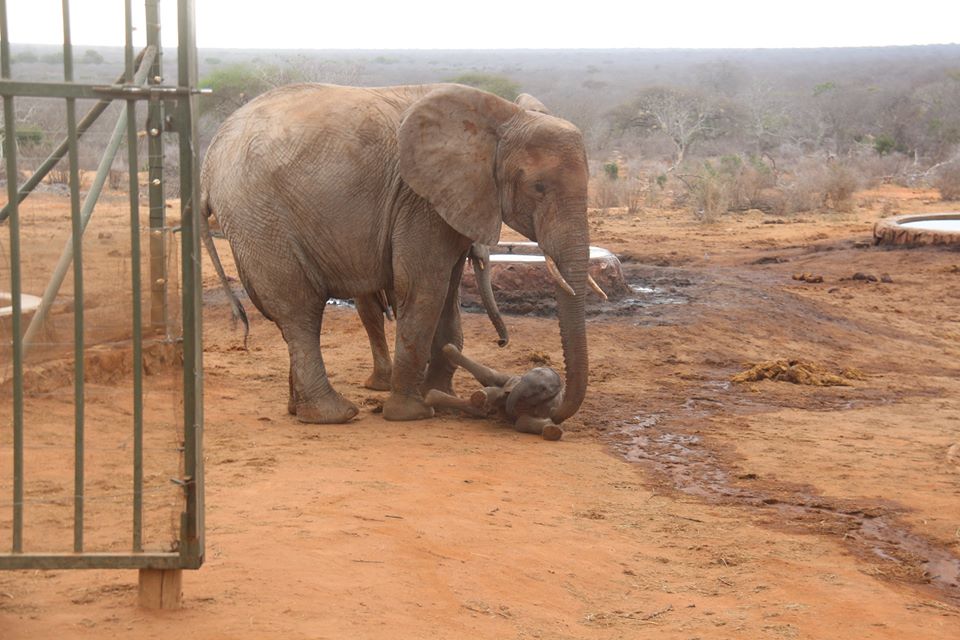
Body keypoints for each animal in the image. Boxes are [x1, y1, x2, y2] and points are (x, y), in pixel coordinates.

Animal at [200, 83, 591, 424]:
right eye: (538, 187)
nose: (501, 343)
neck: (505, 116)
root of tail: (209, 162)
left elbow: (448, 296)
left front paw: (440, 396)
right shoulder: (419, 199)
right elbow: (422, 288)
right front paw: (414, 413)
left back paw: (299, 411)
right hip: (260, 219)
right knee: (299, 309)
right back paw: (334, 415)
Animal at [425, 344, 565, 441]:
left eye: (542, 389)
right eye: (524, 376)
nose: (509, 411)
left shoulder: (549, 405)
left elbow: (523, 421)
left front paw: (553, 431)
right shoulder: (514, 382)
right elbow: (498, 392)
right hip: (504, 377)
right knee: (489, 376)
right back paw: (449, 350)